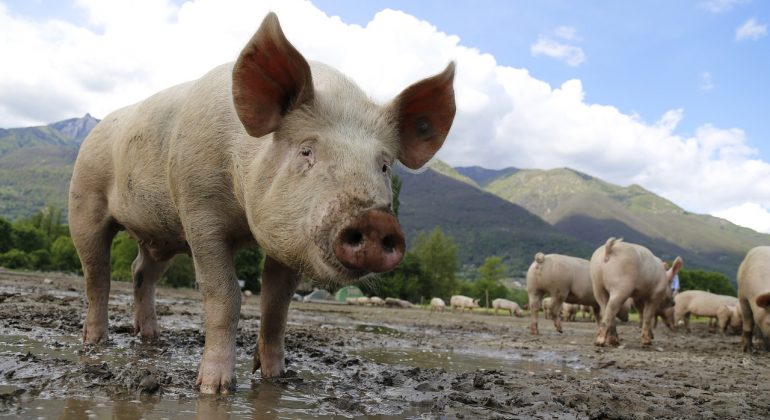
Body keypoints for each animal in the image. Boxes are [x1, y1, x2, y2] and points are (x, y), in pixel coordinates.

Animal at [67, 12, 456, 394]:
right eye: (306, 151)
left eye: (384, 165)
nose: (376, 221)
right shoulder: (199, 212)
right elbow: (225, 297)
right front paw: (216, 388)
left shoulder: (290, 239)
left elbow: (277, 307)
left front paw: (276, 379)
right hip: (84, 199)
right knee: (97, 275)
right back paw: (96, 342)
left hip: (159, 237)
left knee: (140, 273)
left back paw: (151, 338)